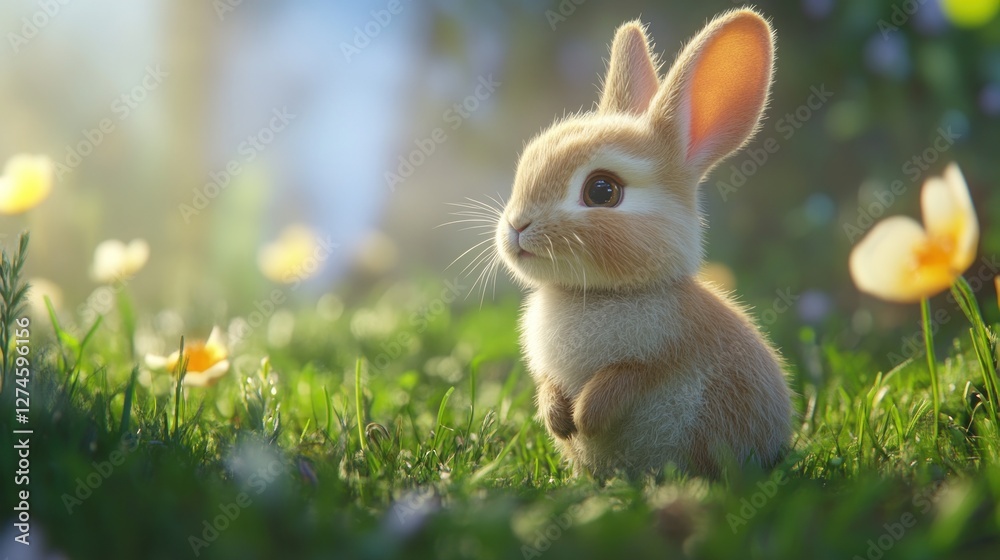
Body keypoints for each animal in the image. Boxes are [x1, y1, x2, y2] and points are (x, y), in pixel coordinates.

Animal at [493, 9, 792, 478]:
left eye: (602, 191)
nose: (516, 226)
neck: (596, 294)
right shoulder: (547, 368)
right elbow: (548, 384)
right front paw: (558, 418)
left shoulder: (660, 355)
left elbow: (622, 380)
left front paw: (584, 417)